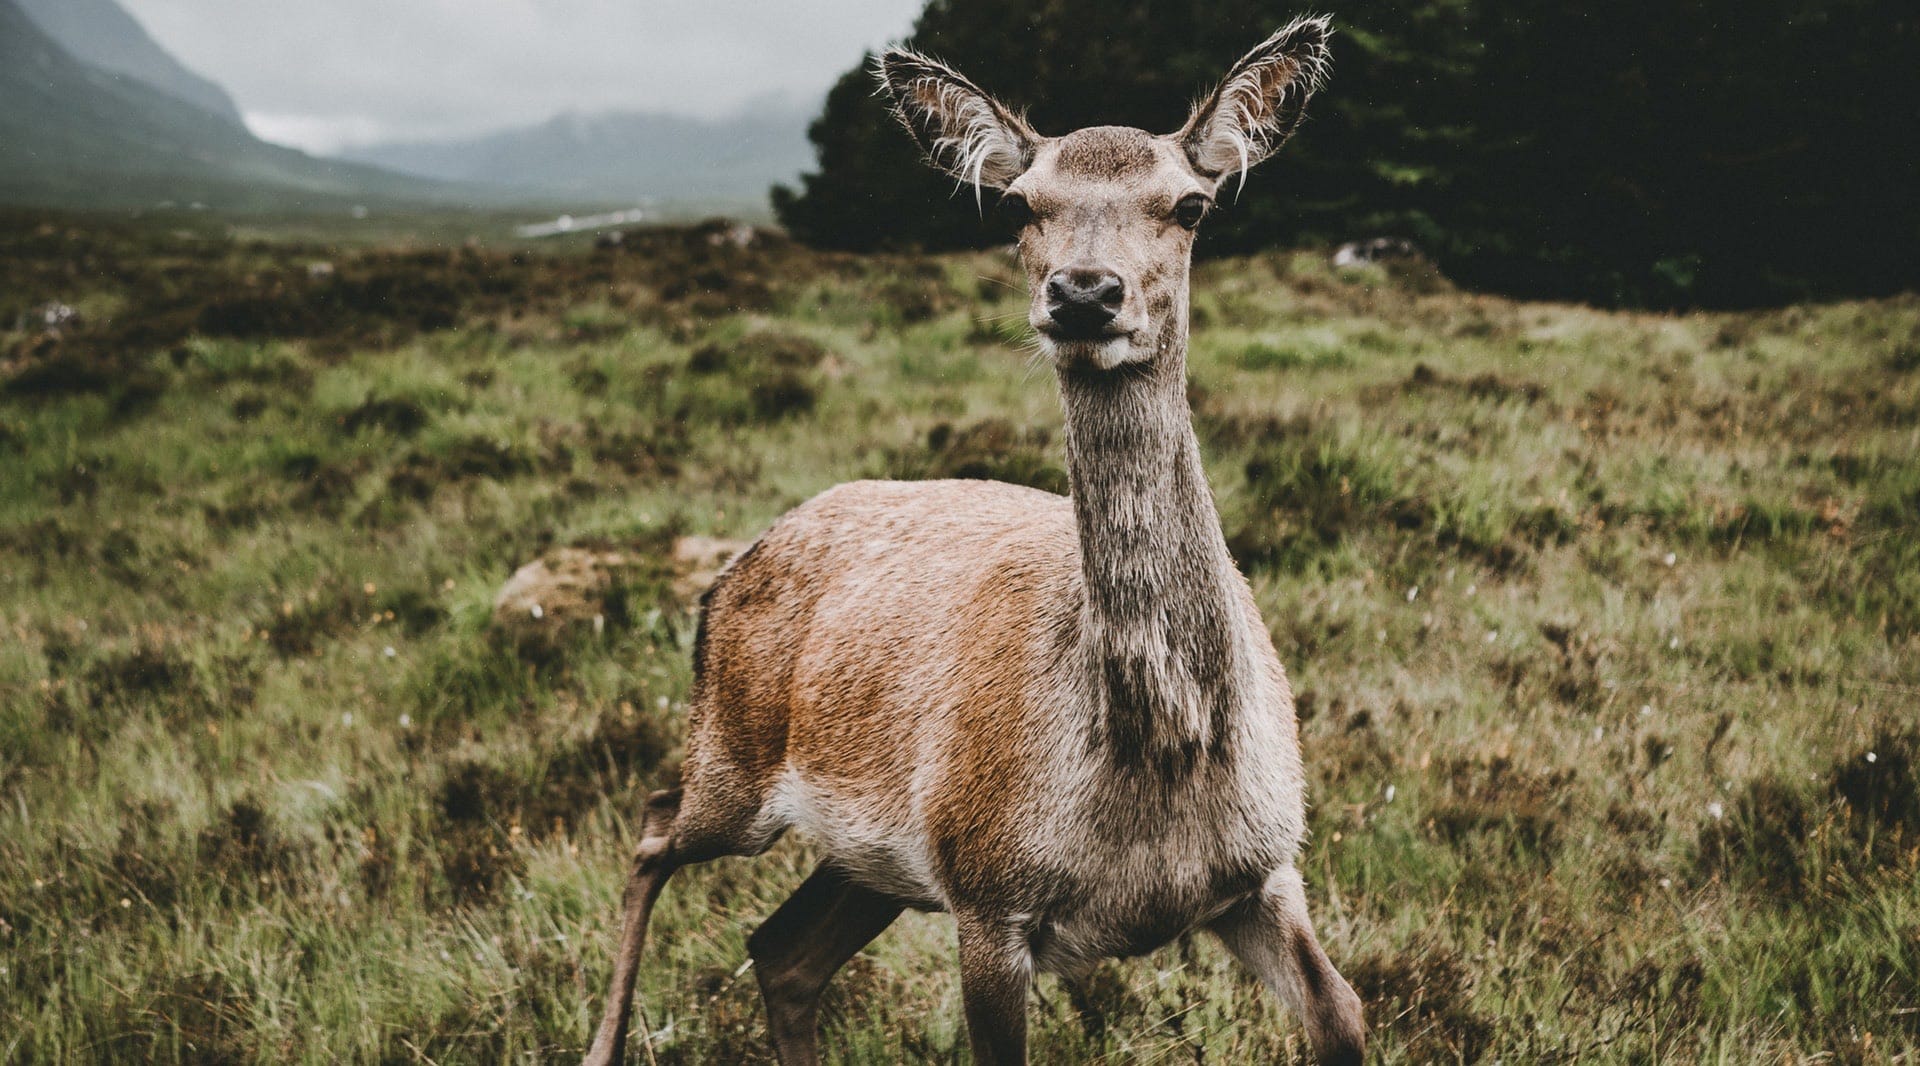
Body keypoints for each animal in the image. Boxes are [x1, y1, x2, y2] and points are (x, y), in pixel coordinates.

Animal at [582, 16, 1366, 1066]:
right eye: (1021, 204)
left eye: (1191, 204)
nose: (1084, 292)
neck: (1163, 765)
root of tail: (727, 575)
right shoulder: (989, 895)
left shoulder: (1265, 871)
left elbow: (1346, 1012)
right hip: (737, 759)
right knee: (653, 825)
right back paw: (600, 1042)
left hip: (872, 863)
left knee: (781, 951)